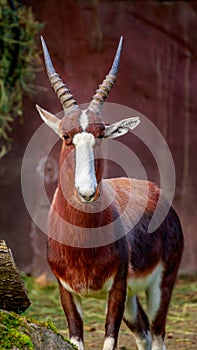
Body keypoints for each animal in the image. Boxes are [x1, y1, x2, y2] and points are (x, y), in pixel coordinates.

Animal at [36, 36, 183, 350]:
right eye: (66, 136)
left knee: (158, 334)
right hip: (132, 300)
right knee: (144, 334)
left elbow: (110, 338)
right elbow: (76, 336)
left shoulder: (117, 288)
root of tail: (156, 192)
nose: (87, 191)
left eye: (101, 134)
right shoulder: (67, 292)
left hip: (160, 286)